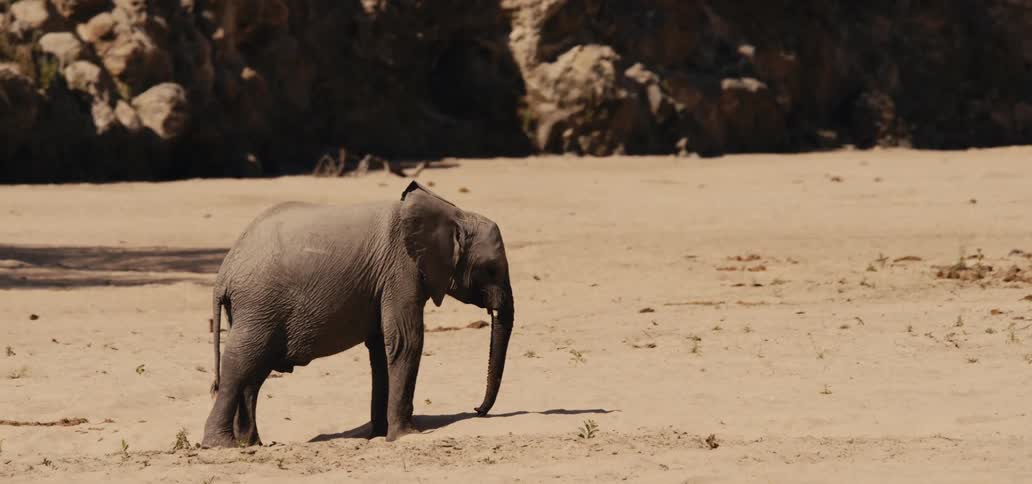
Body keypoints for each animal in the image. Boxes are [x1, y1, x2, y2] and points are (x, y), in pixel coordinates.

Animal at [201, 181, 515, 447]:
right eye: (491, 269)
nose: (477, 409)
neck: (455, 214)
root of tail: (224, 273)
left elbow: (380, 349)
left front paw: (378, 435)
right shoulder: (401, 271)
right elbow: (406, 341)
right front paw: (405, 436)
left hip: (257, 309)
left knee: (254, 372)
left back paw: (251, 444)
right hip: (258, 305)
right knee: (241, 364)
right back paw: (220, 446)